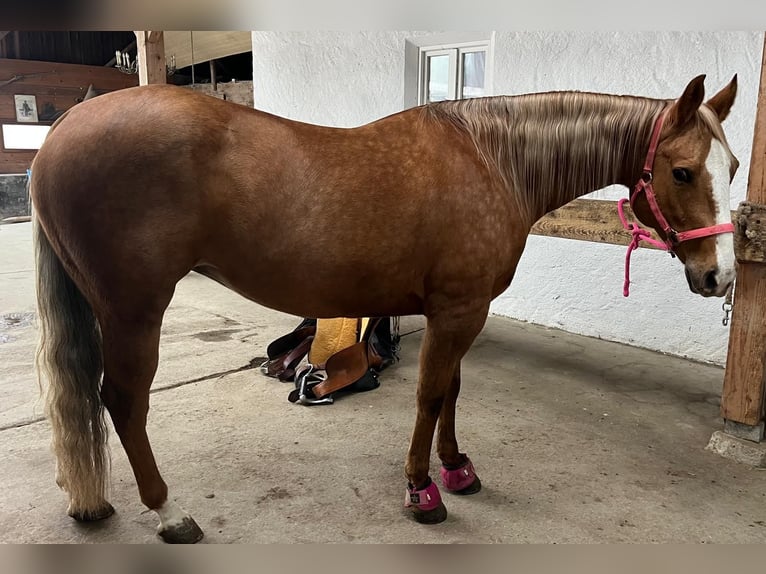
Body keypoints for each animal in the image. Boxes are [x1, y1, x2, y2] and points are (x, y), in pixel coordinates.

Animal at [30, 74, 739, 543]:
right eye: (681, 171)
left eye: (733, 166)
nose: (719, 277)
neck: (492, 159)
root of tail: (64, 129)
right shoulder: (457, 310)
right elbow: (429, 394)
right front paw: (422, 491)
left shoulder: (461, 310)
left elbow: (452, 391)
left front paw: (456, 468)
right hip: (134, 311)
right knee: (122, 401)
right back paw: (169, 512)